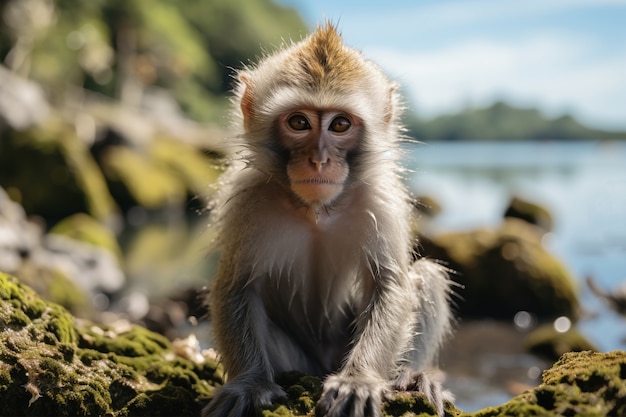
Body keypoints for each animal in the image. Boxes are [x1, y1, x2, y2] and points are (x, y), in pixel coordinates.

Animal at [202, 22, 450, 416]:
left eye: (340, 124)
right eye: (299, 122)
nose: (319, 160)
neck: (316, 210)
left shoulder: (381, 202)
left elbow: (390, 286)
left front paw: (358, 380)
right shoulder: (248, 201)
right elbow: (236, 287)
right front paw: (250, 384)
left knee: (425, 276)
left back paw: (408, 376)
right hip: (299, 362)